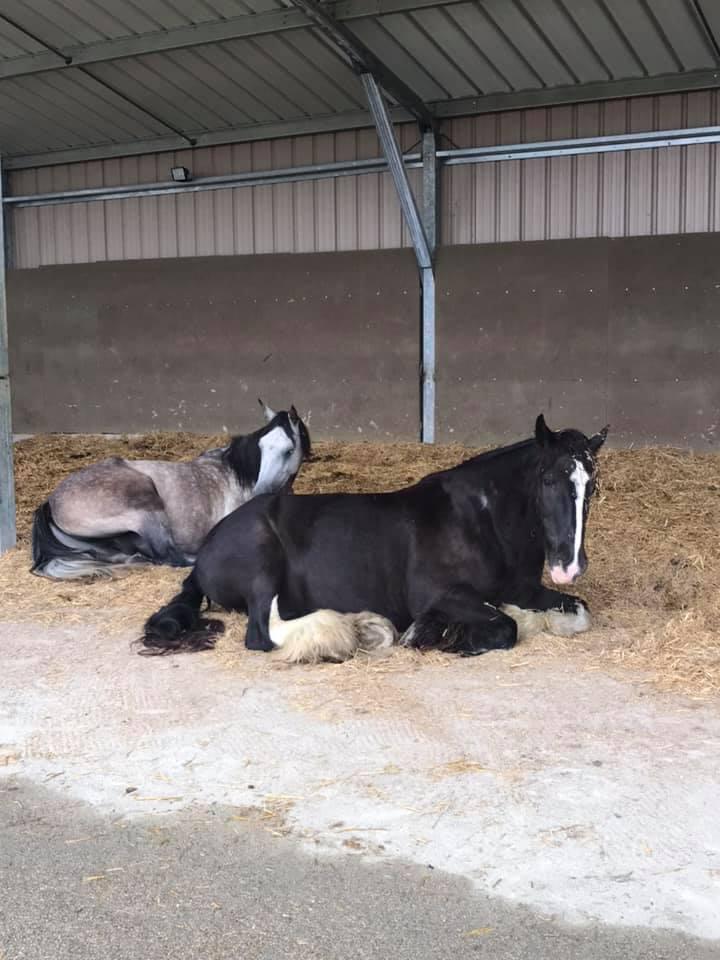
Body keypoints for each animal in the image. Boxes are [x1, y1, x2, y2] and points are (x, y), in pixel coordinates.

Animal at [138, 416, 604, 656]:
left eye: (592, 486)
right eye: (548, 479)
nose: (569, 567)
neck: (480, 519)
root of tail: (207, 550)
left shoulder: (524, 589)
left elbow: (579, 612)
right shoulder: (440, 595)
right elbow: (505, 627)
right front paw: (434, 635)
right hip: (261, 561)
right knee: (262, 633)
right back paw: (354, 632)